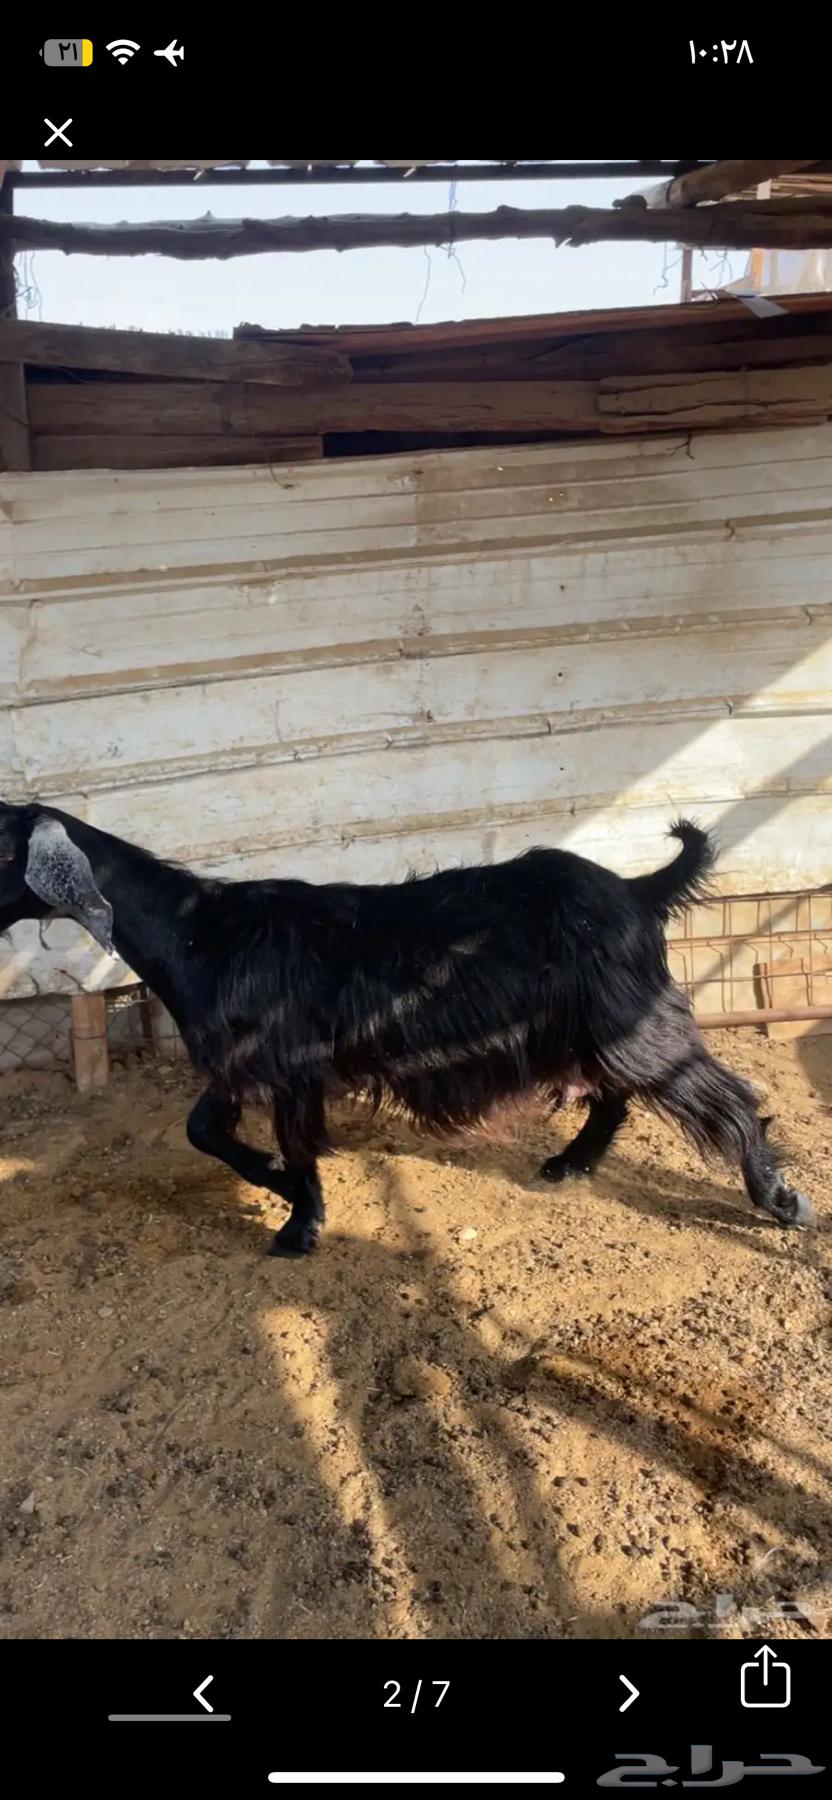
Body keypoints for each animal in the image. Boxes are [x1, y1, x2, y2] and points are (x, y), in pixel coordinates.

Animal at [0, 800, 812, 1255]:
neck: (199, 929)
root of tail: (637, 889)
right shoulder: (238, 1063)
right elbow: (205, 1131)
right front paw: (275, 1185)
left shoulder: (286, 1066)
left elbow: (297, 1148)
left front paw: (299, 1227)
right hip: (595, 1028)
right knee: (613, 1096)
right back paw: (570, 1163)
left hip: (629, 1024)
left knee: (729, 1096)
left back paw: (778, 1198)